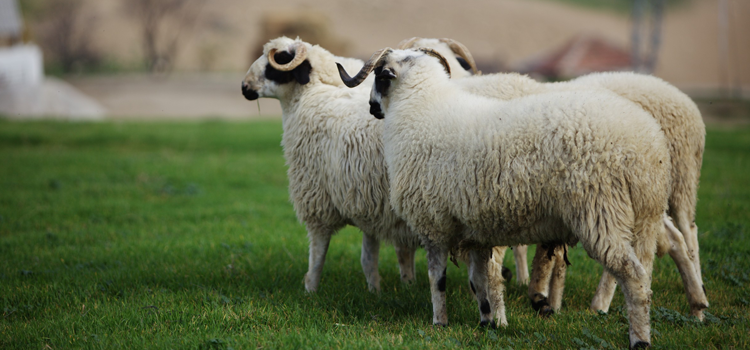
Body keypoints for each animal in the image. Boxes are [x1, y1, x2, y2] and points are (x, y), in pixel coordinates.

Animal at [241, 36, 424, 292]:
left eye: (277, 61)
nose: (244, 87)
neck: (315, 93)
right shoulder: (369, 201)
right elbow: (369, 257)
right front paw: (376, 290)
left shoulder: (317, 198)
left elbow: (318, 253)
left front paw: (310, 290)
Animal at [340, 47, 676, 348]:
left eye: (380, 77)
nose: (372, 108)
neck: (420, 109)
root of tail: (648, 144)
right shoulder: (473, 229)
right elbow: (479, 280)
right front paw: (486, 321)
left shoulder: (433, 223)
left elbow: (438, 279)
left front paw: (440, 322)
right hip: (645, 217)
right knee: (646, 276)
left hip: (601, 211)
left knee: (633, 277)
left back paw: (640, 341)